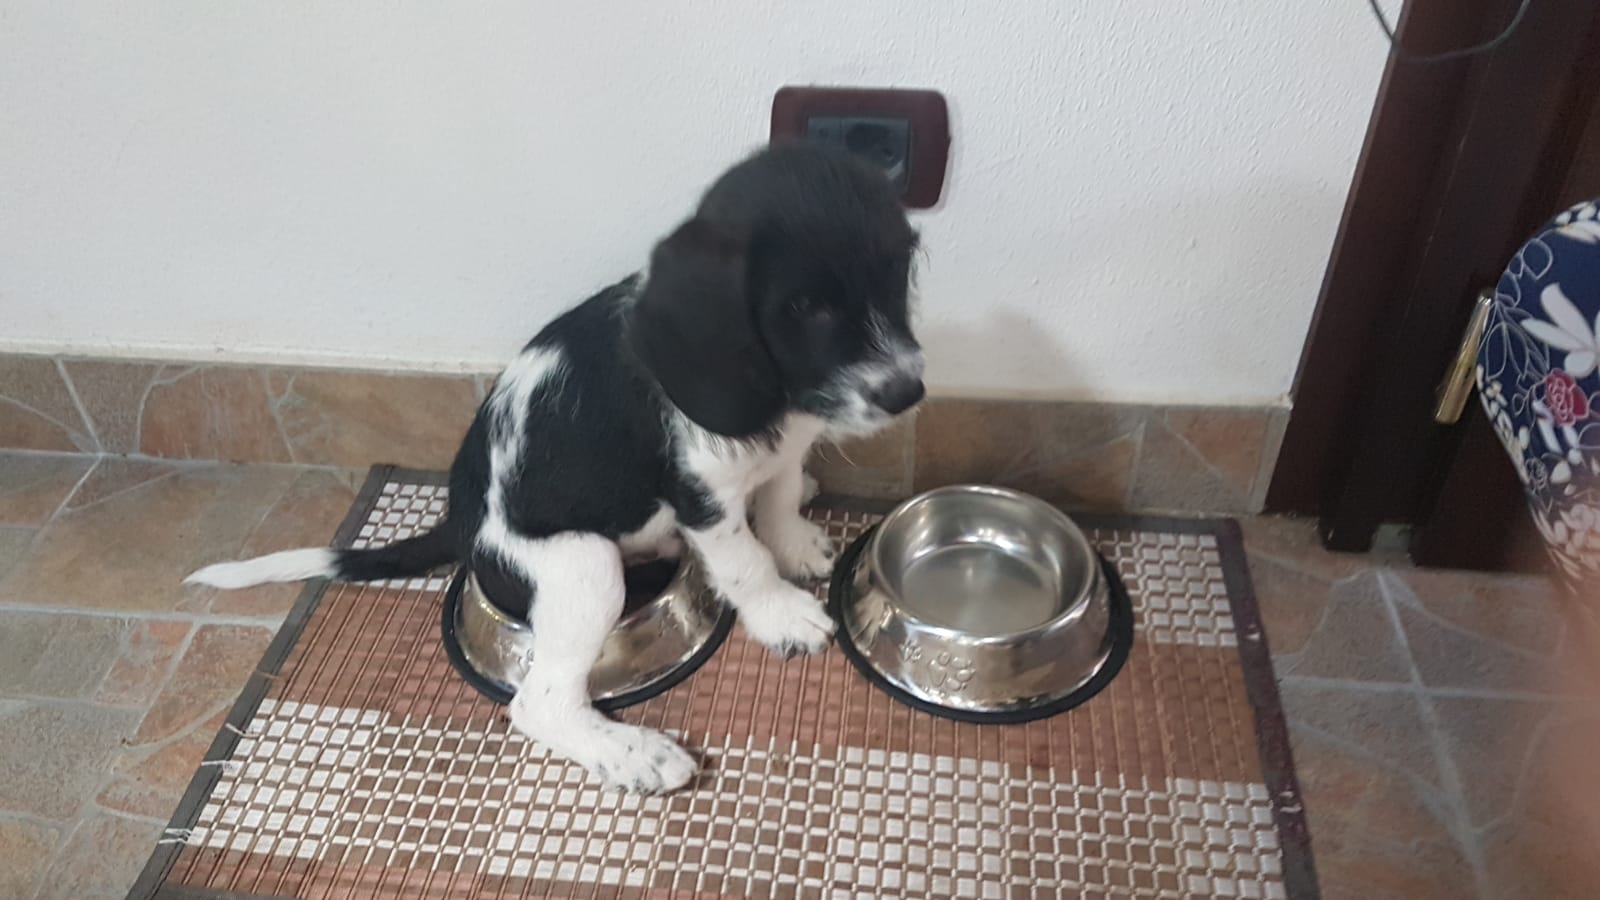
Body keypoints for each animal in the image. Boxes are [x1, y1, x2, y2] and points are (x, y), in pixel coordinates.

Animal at [186, 143, 925, 794]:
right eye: (806, 308)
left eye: (896, 274)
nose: (906, 392)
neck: (775, 390)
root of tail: (462, 529)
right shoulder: (702, 497)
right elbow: (745, 561)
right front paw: (779, 613)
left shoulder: (782, 447)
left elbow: (777, 493)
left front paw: (795, 539)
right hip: (583, 567)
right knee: (539, 703)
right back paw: (635, 755)